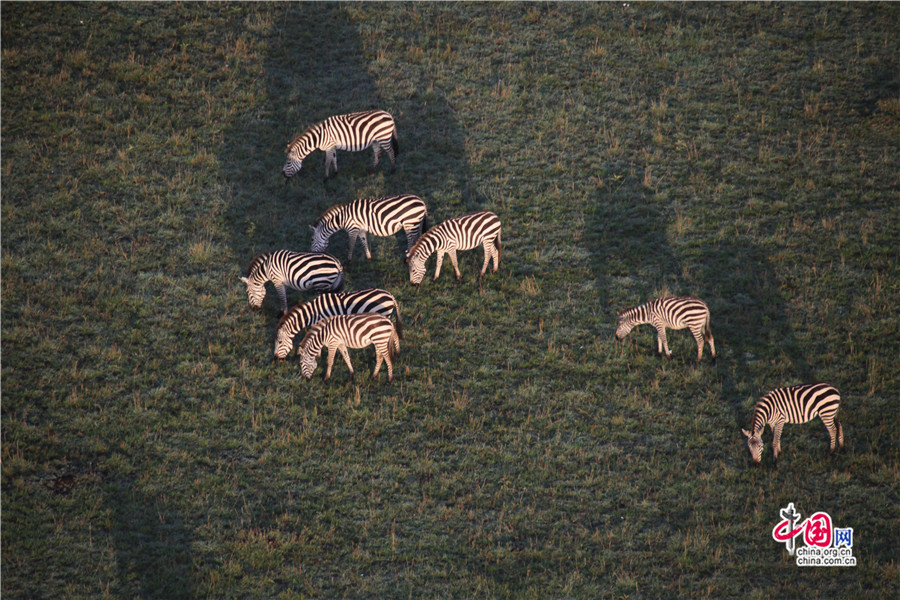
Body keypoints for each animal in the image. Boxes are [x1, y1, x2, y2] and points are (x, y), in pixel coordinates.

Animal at [272, 288, 402, 358]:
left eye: (279, 342)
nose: (276, 357)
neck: (313, 313)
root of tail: (390, 295)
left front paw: (317, 355)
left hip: (382, 315)